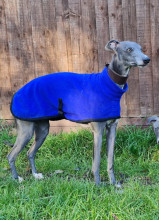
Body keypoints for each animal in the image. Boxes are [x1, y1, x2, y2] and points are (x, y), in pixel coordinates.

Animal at [7, 40, 150, 185]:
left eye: (141, 49)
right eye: (129, 50)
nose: (147, 60)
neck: (109, 83)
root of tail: (17, 92)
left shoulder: (112, 128)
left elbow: (110, 161)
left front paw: (114, 184)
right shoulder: (98, 130)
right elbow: (96, 162)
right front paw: (98, 185)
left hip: (42, 130)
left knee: (30, 152)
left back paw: (35, 175)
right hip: (26, 130)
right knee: (11, 155)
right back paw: (16, 178)